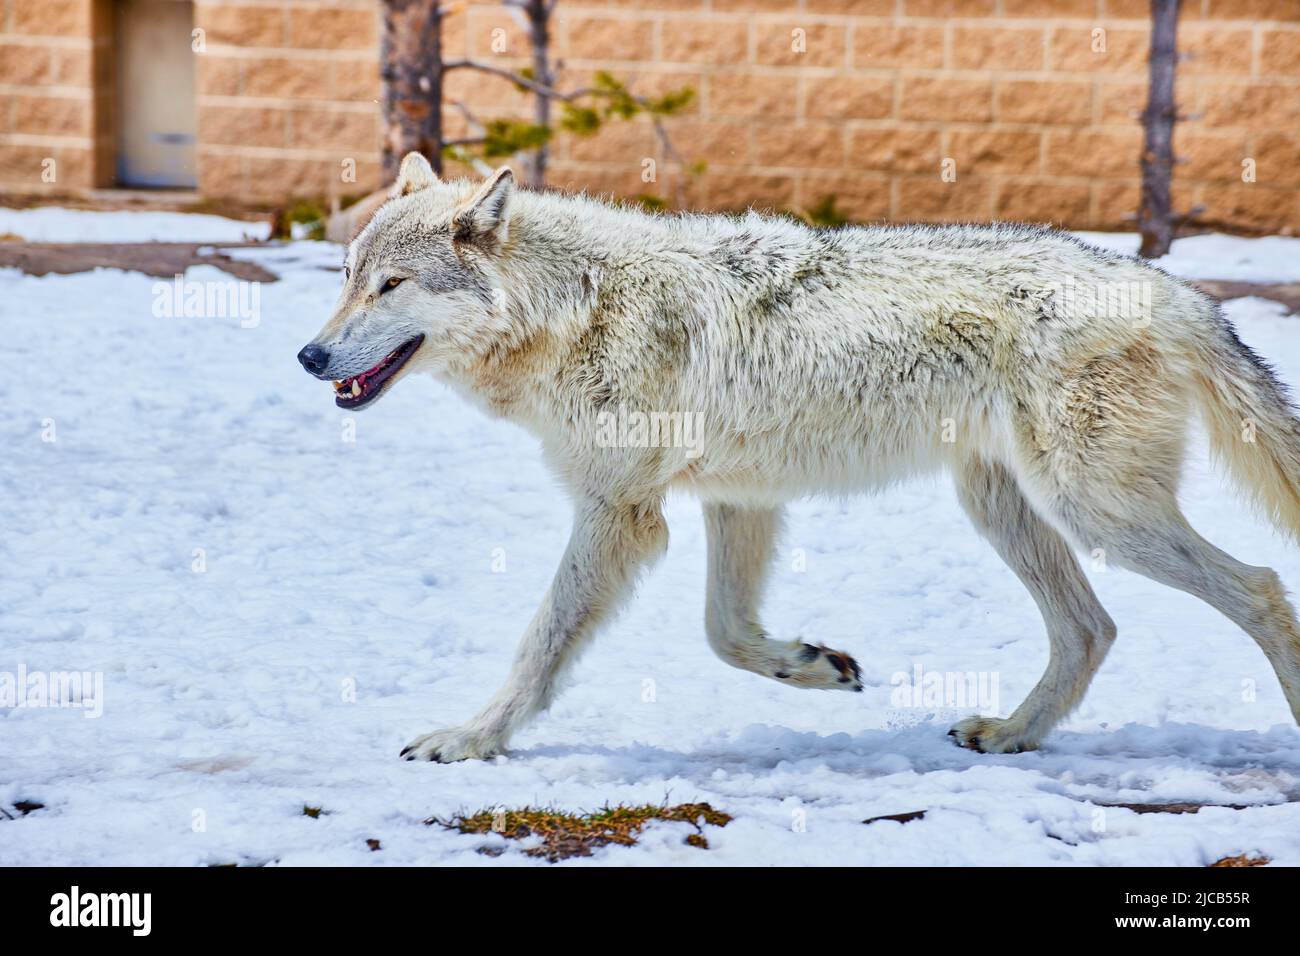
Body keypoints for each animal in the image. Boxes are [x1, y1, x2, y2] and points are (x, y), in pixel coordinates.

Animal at [298, 152, 1300, 762]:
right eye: (346, 279)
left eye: (391, 287)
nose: (308, 355)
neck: (577, 307)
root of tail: (1182, 292)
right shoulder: (737, 500)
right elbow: (726, 633)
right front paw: (816, 665)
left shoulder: (617, 513)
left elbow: (540, 646)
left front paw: (472, 740)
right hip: (1009, 509)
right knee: (1092, 629)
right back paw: (1012, 733)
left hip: (1099, 515)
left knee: (1258, 587)